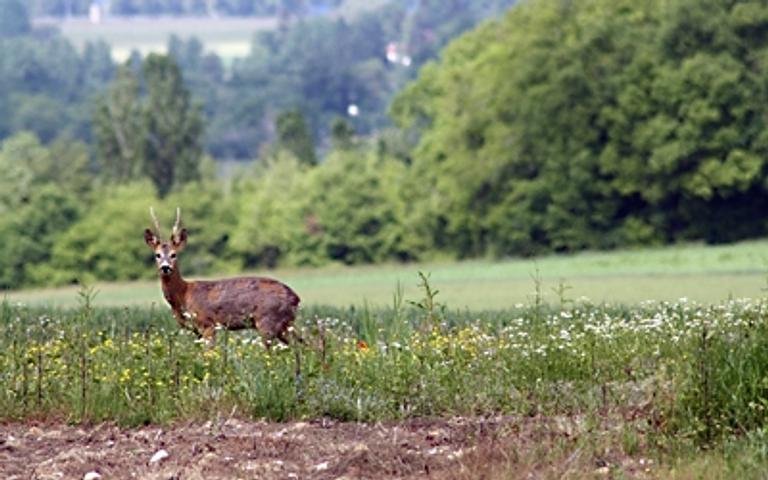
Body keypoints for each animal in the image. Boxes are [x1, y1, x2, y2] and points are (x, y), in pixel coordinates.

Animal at [146, 205, 302, 344]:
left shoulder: (207, 324)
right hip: (285, 324)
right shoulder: (196, 331)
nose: (165, 267)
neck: (183, 295)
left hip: (268, 321)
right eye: (157, 255)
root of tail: (295, 298)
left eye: (174, 254)